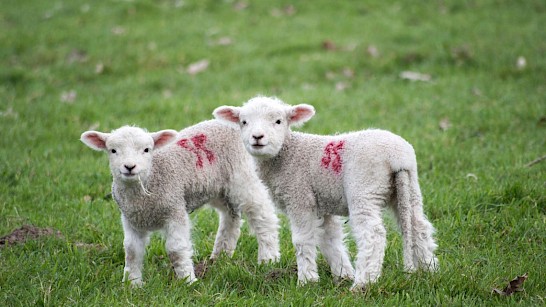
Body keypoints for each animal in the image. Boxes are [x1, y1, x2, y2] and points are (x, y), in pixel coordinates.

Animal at [79, 120, 280, 286]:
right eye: (113, 150)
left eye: (147, 150)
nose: (129, 167)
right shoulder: (131, 219)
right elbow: (131, 251)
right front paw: (132, 284)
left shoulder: (174, 209)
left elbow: (175, 249)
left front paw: (187, 281)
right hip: (218, 188)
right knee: (231, 217)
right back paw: (220, 257)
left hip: (243, 175)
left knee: (263, 216)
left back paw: (268, 259)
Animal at [214, 97, 438, 292]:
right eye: (243, 122)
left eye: (278, 121)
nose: (257, 137)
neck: (287, 154)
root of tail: (397, 157)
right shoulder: (323, 204)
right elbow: (330, 239)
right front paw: (342, 274)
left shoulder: (299, 197)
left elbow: (303, 240)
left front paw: (307, 281)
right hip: (408, 189)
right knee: (418, 226)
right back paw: (430, 270)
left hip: (364, 188)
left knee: (373, 235)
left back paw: (363, 283)